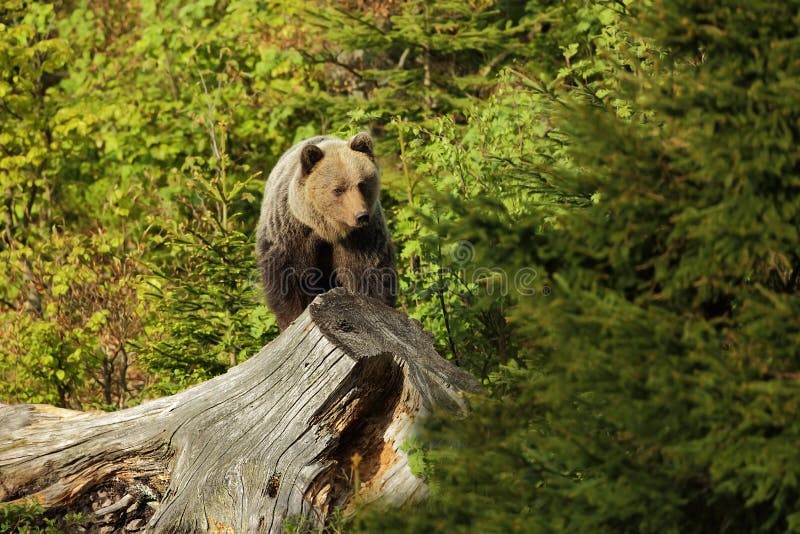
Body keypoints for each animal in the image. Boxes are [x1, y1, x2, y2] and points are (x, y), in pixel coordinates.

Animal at [256, 133, 396, 330]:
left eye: (361, 184)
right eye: (338, 190)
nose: (361, 216)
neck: (328, 230)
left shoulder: (362, 239)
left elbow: (369, 273)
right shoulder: (292, 234)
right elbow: (288, 279)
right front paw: (292, 317)